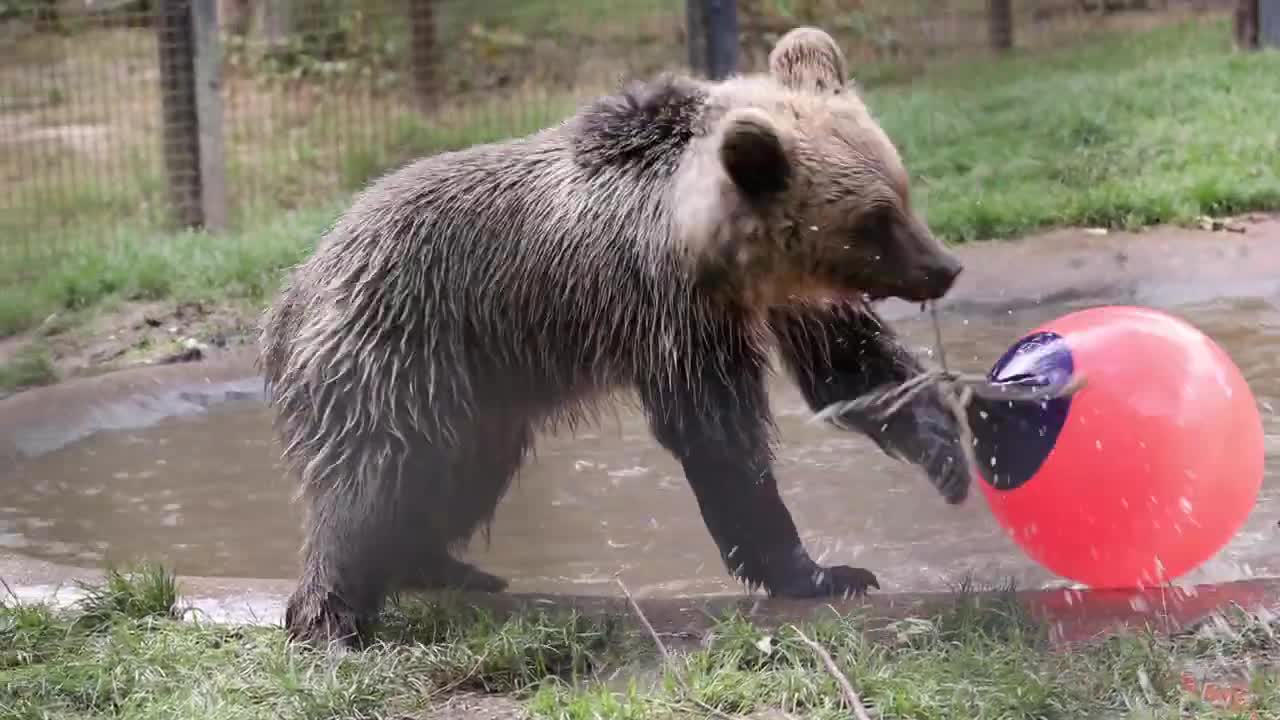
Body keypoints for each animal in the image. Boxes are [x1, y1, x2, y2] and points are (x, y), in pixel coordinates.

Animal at [264, 26, 972, 645]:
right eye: (874, 218)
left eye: (902, 191)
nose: (945, 268)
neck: (711, 246)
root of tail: (294, 287)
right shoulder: (671, 309)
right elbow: (719, 437)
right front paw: (819, 570)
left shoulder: (782, 298)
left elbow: (849, 369)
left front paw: (945, 450)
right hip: (394, 348)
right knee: (371, 480)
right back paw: (332, 617)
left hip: (475, 394)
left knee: (457, 473)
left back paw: (448, 566)